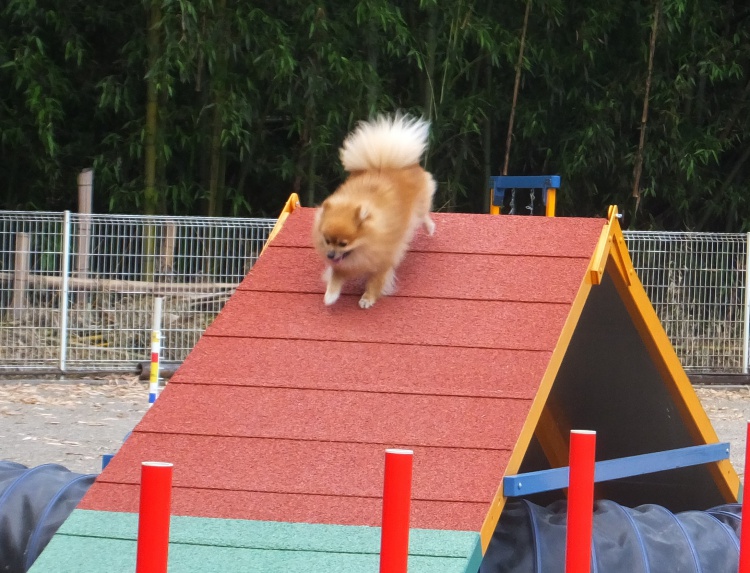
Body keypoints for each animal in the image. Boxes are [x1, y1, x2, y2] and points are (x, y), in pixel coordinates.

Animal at [312, 114, 436, 309]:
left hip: (421, 203)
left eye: (343, 244)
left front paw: (367, 298)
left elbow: (376, 281)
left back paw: (430, 228)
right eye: (327, 241)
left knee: (423, 214)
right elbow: (336, 274)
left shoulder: (384, 258)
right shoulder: (345, 263)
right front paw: (330, 295)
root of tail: (385, 162)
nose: (330, 255)